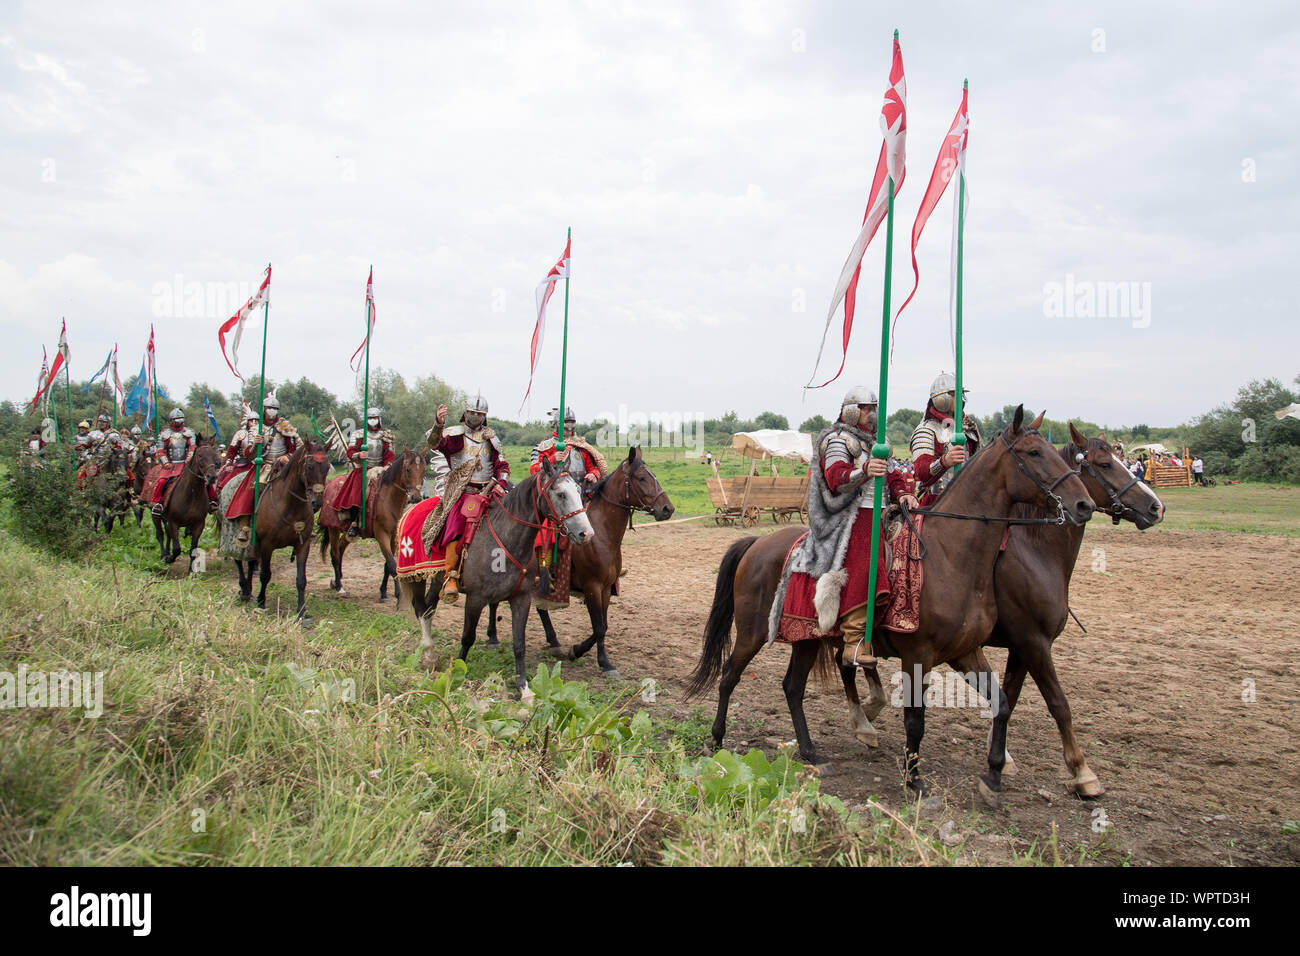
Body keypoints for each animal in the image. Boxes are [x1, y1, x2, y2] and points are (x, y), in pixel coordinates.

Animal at [148, 437, 222, 572]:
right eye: (200, 455)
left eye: (214, 455)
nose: (212, 477)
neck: (191, 495)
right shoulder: (173, 523)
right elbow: (177, 549)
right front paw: (169, 559)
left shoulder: (199, 525)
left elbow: (193, 549)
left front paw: (191, 571)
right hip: (155, 515)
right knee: (160, 534)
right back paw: (163, 555)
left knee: (167, 535)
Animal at [227, 442, 332, 624]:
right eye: (309, 466)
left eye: (326, 467)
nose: (317, 502)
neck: (290, 505)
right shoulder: (267, 545)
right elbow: (265, 575)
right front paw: (261, 604)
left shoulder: (303, 544)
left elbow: (301, 579)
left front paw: (302, 611)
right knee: (239, 560)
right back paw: (244, 589)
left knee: (250, 563)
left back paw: (247, 591)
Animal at [319, 447, 426, 598]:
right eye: (408, 470)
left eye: (423, 470)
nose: (416, 497)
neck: (389, 498)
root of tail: (330, 484)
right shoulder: (382, 535)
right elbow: (392, 564)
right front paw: (398, 593)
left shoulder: (393, 536)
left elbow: (387, 565)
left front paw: (384, 591)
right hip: (332, 528)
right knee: (335, 555)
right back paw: (339, 587)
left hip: (346, 532)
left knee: (340, 549)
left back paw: (336, 581)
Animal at [400, 460, 595, 697]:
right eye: (560, 494)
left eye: (579, 491)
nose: (586, 534)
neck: (506, 540)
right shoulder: (475, 599)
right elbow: (468, 637)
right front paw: (455, 675)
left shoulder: (521, 599)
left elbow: (519, 644)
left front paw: (524, 688)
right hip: (415, 577)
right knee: (420, 608)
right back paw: (428, 653)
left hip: (437, 580)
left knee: (429, 608)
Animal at [686, 408, 1092, 796]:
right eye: (1034, 453)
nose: (1083, 504)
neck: (951, 555)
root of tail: (757, 542)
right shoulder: (926, 654)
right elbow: (916, 720)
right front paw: (914, 780)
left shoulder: (968, 651)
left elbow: (1002, 703)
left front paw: (993, 776)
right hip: (752, 632)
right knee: (729, 676)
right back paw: (717, 739)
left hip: (807, 638)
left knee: (792, 687)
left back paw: (811, 752)